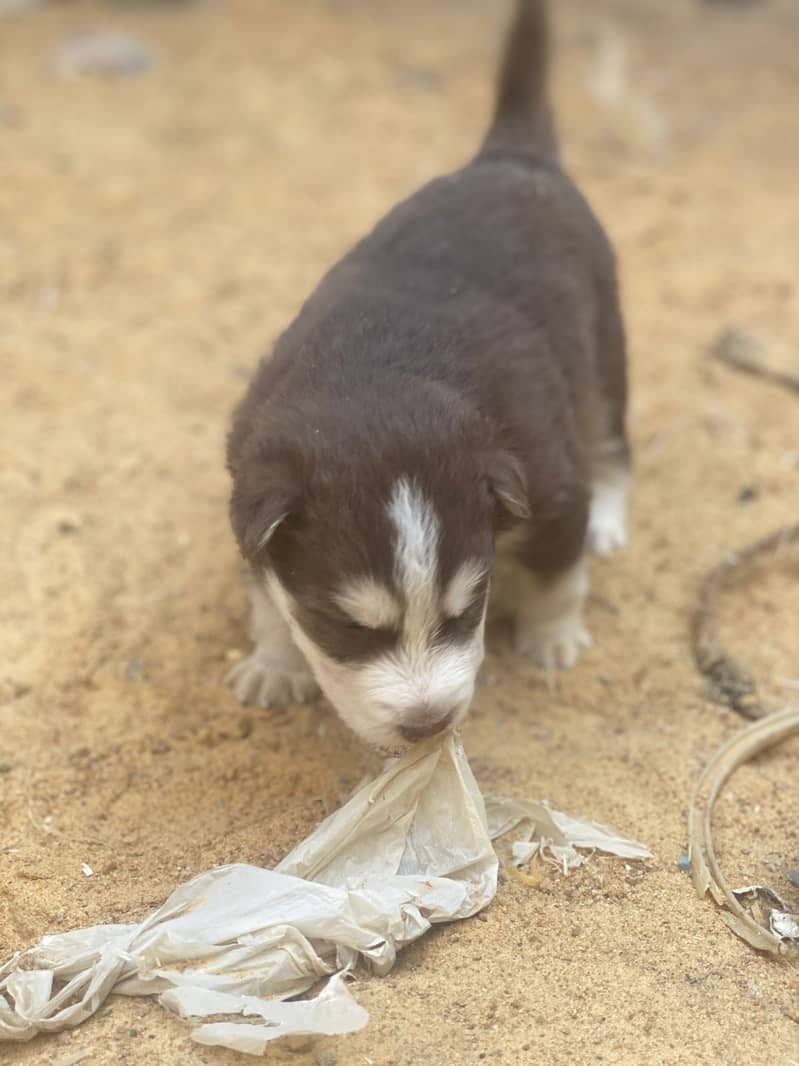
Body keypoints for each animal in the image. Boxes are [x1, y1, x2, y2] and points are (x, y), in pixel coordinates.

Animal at [225, 2, 630, 750]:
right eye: (345, 627)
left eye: (467, 612)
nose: (427, 725)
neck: (378, 374)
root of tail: (508, 157)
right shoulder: (252, 498)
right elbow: (270, 597)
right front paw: (274, 661)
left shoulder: (553, 484)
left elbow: (559, 574)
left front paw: (552, 636)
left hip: (607, 349)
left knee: (615, 446)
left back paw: (611, 519)